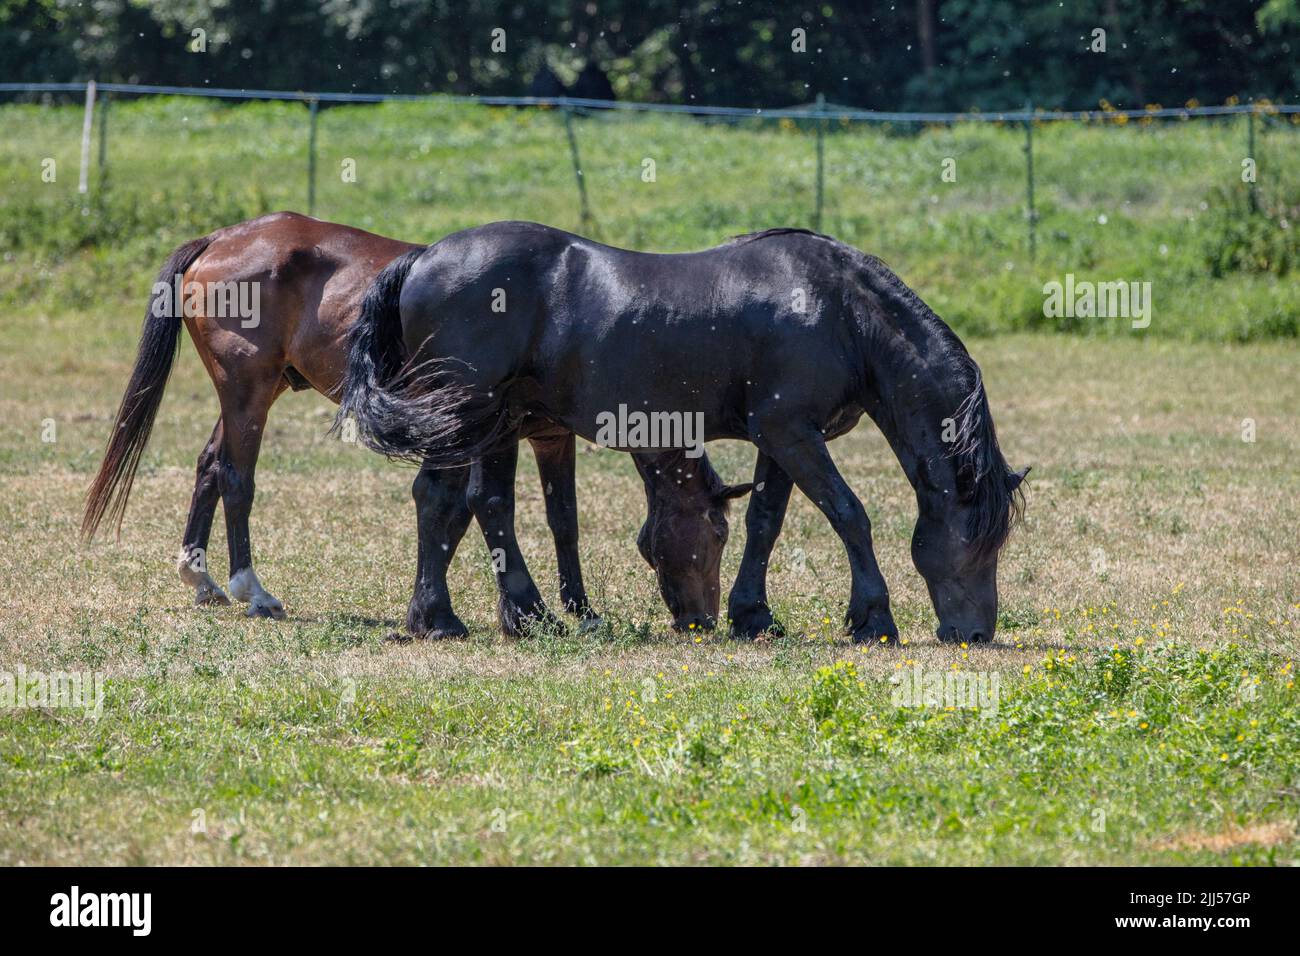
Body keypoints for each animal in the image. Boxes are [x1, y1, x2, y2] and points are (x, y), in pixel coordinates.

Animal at [81, 212, 750, 638]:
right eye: (718, 531)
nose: (702, 619)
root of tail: (221, 237)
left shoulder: (547, 436)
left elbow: (561, 519)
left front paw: (577, 611)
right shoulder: (493, 434)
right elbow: (478, 507)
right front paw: (506, 611)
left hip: (251, 394)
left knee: (208, 467)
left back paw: (201, 579)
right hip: (247, 393)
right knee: (236, 477)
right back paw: (254, 590)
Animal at [337, 221, 1028, 644]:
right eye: (981, 543)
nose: (976, 632)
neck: (841, 311)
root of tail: (422, 257)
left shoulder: (782, 439)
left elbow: (766, 522)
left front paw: (754, 615)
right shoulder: (793, 434)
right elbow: (849, 514)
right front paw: (873, 618)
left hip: (492, 422)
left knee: (475, 503)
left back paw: (500, 615)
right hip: (462, 415)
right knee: (443, 499)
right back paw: (448, 618)